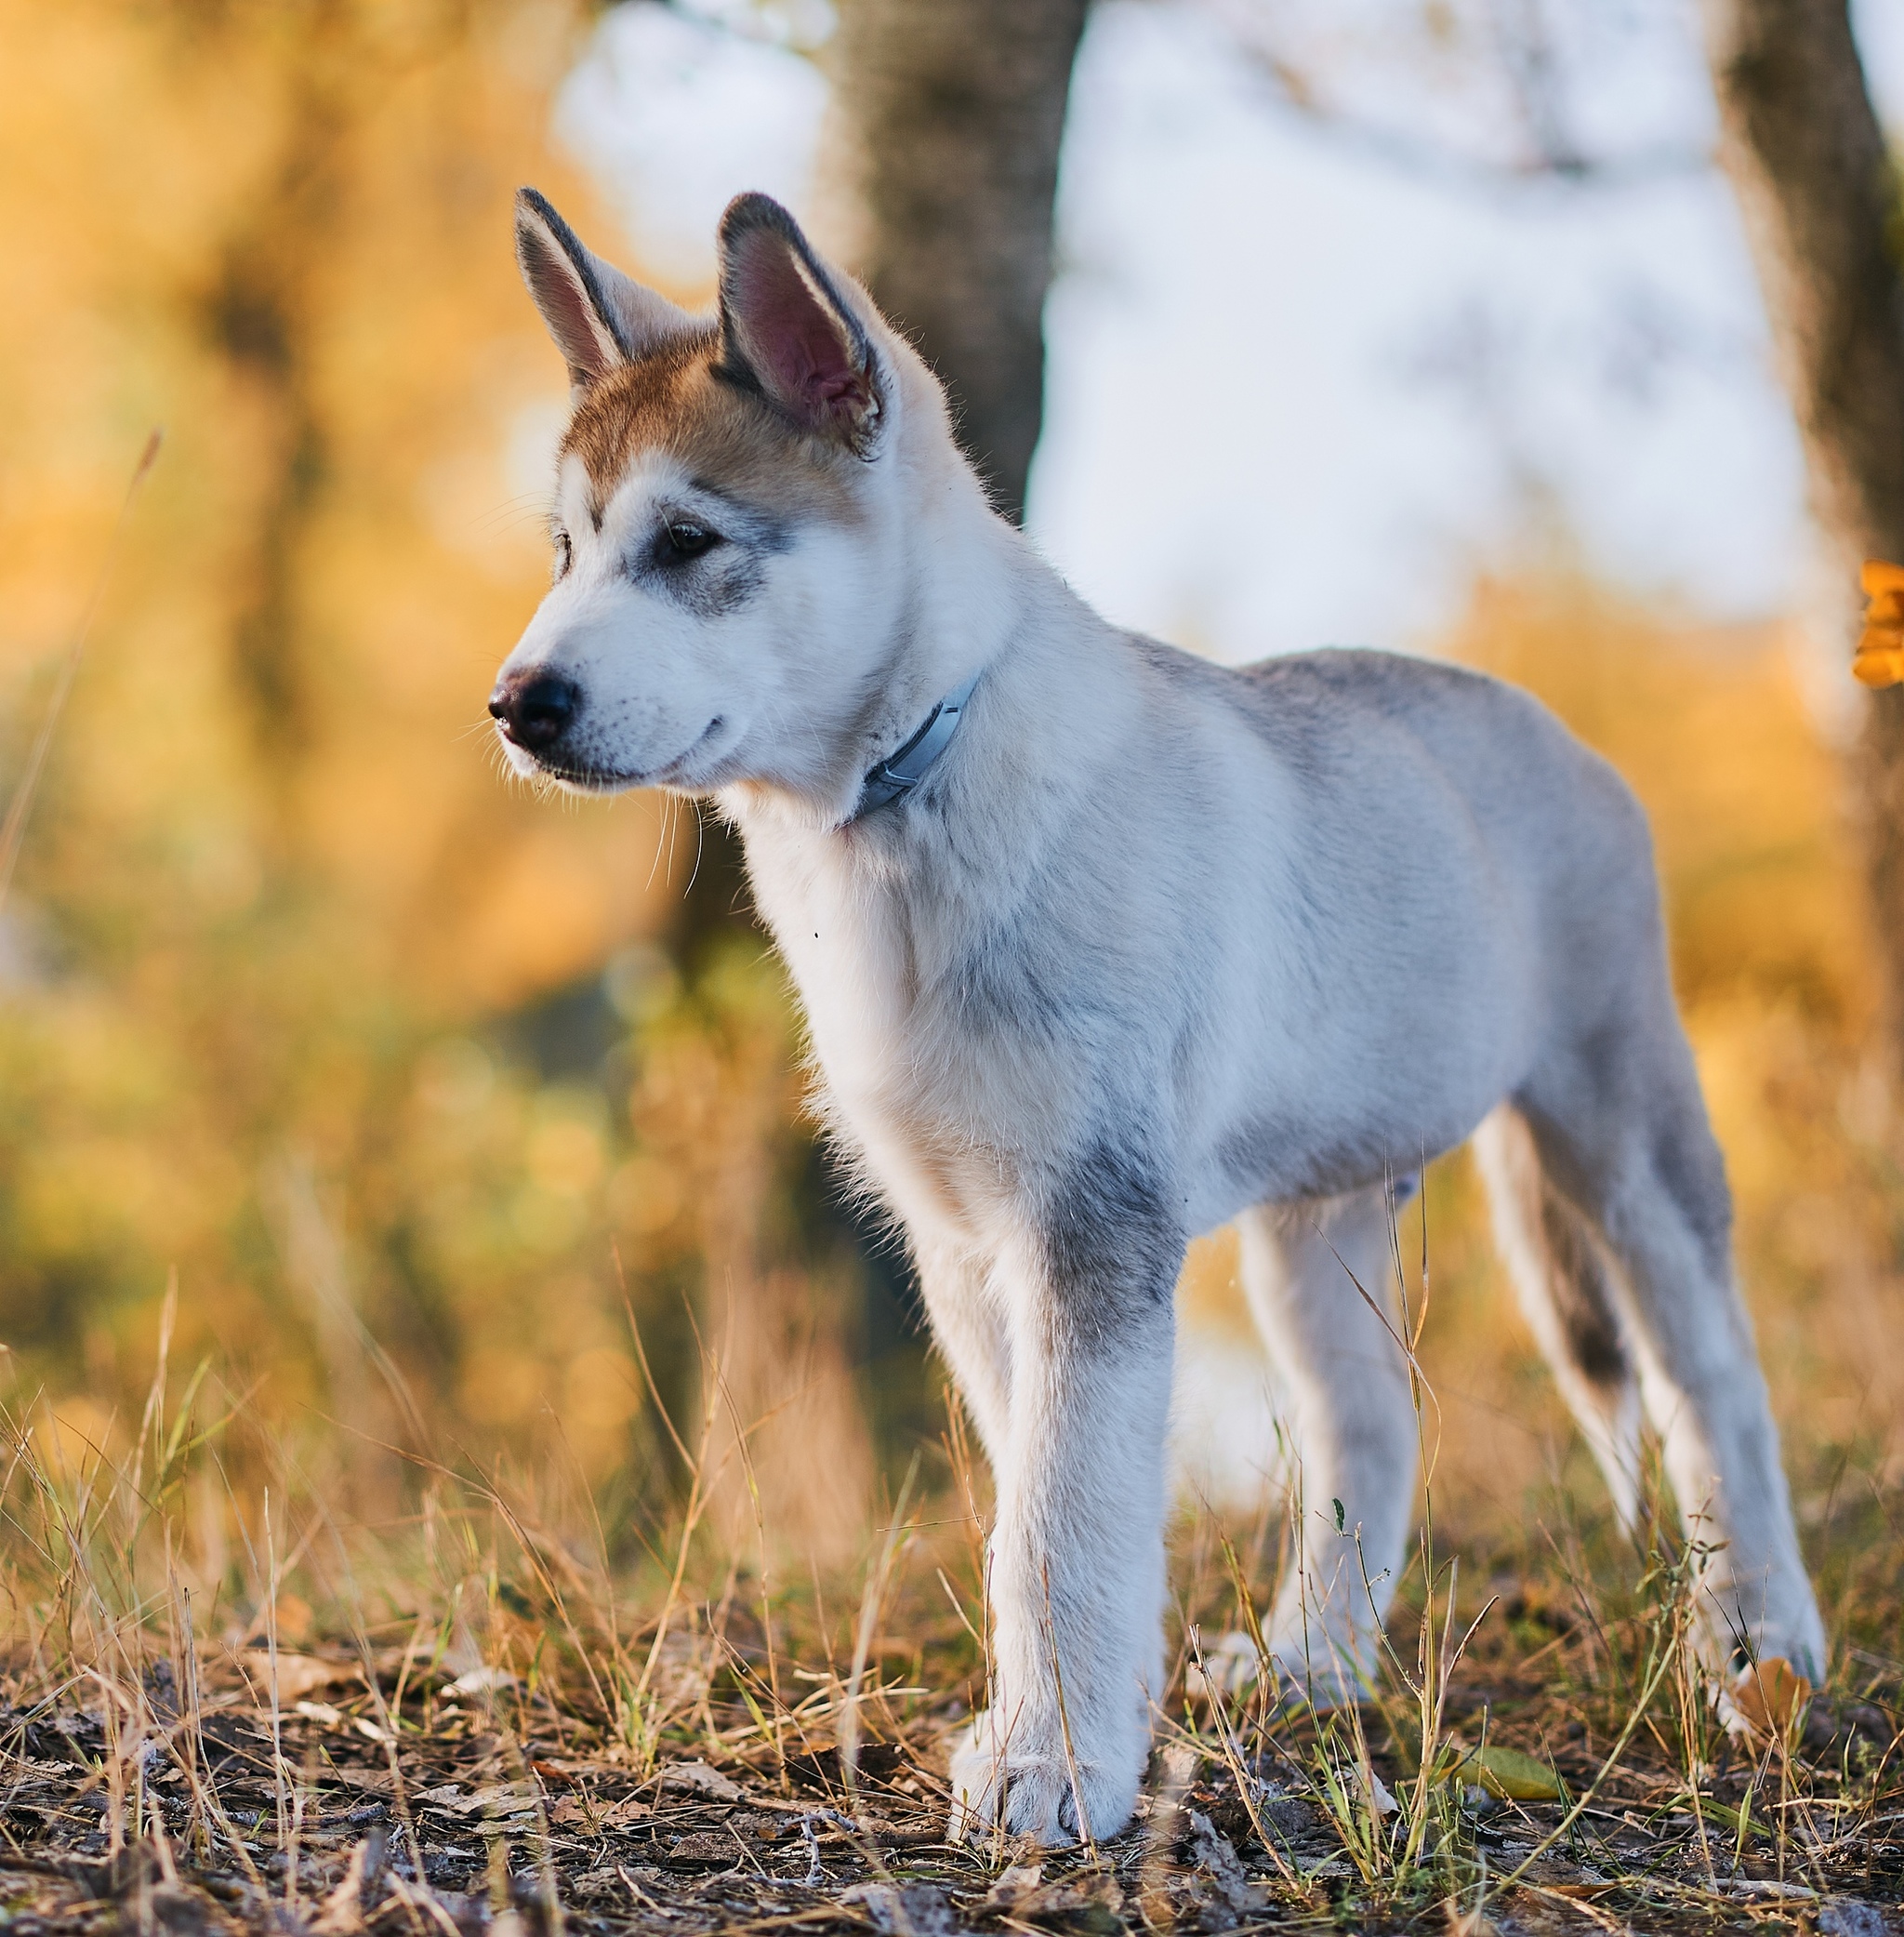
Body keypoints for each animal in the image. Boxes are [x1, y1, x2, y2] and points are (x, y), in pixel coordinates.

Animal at [496, 189, 1828, 1836]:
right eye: (566, 548)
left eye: (688, 542)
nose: (517, 703)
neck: (909, 805)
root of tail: (1563, 734)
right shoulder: (964, 1241)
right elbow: (1053, 1498)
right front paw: (1088, 1722)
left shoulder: (1094, 1222)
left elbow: (1061, 1515)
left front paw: (1051, 1764)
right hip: (1311, 1225)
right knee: (1374, 1426)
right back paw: (1316, 1664)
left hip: (1626, 1134)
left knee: (1720, 1389)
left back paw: (1762, 1646)